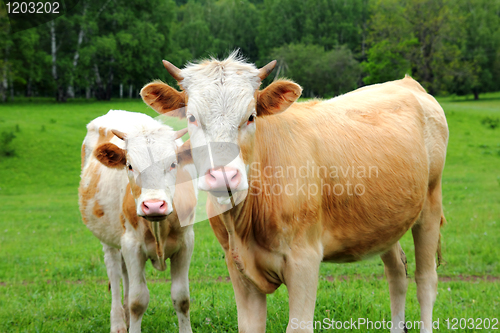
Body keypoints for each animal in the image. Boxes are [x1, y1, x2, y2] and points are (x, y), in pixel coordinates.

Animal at [78, 109, 197, 332]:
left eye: (173, 164)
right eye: (130, 166)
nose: (154, 205)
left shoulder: (186, 243)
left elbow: (182, 298)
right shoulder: (132, 245)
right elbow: (138, 301)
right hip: (109, 239)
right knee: (115, 274)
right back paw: (118, 322)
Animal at [141, 53, 450, 330]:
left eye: (251, 116)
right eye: (192, 118)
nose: (223, 176)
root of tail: (407, 83)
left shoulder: (305, 261)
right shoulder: (237, 267)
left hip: (430, 205)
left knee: (426, 281)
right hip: (385, 222)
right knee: (397, 273)